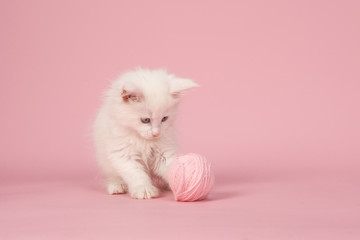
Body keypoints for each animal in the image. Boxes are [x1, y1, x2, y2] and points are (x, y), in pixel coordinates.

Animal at [93, 68, 198, 199]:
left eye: (164, 119)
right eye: (145, 120)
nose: (156, 134)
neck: (144, 141)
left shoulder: (164, 151)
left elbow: (170, 167)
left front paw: (182, 182)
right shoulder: (123, 153)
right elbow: (136, 174)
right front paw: (143, 189)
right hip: (105, 160)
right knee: (113, 174)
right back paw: (117, 185)